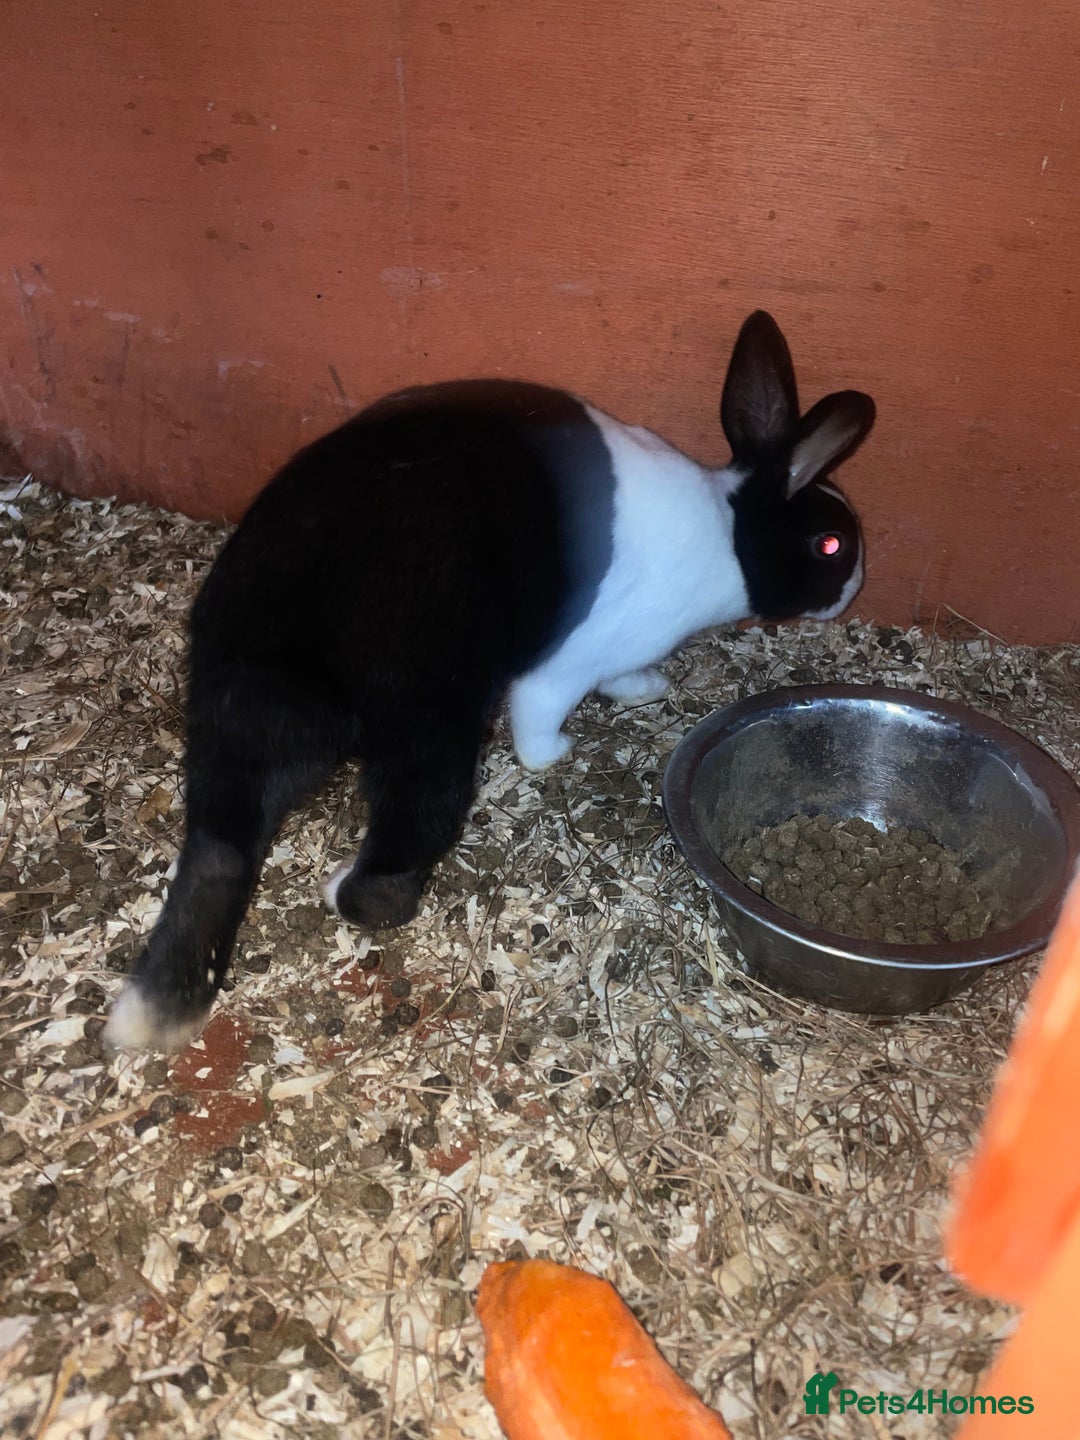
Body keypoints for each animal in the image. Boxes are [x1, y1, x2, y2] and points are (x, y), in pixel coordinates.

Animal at [103, 309, 875, 1052]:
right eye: (831, 544)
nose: (852, 592)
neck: (728, 536)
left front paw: (644, 691)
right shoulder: (568, 662)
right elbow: (541, 712)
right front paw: (560, 751)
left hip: (241, 714)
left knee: (224, 840)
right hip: (429, 715)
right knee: (407, 834)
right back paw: (346, 891)